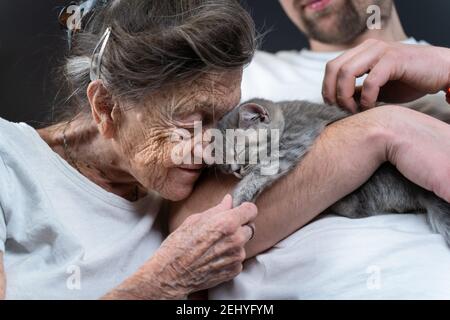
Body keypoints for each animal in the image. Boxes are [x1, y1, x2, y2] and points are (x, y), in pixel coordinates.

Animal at [214, 97, 450, 245]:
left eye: (240, 151)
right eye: (224, 164)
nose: (234, 170)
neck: (286, 117)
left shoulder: (295, 138)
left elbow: (264, 168)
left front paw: (241, 194)